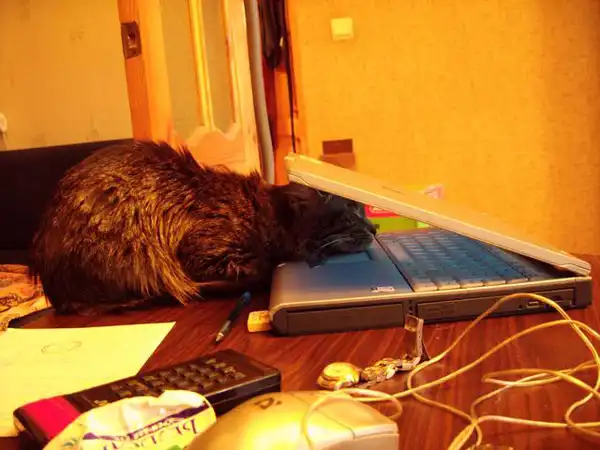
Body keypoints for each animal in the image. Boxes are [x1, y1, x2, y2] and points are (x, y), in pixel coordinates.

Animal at [30, 141, 375, 314]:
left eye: (361, 208)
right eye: (351, 215)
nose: (374, 229)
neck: (262, 214)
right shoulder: (204, 255)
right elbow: (258, 266)